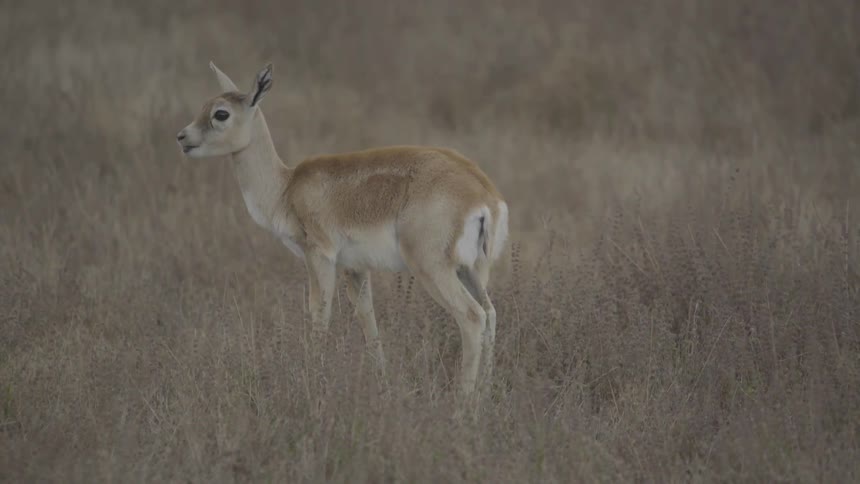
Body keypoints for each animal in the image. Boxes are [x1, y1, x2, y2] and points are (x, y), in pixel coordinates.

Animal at [176, 62, 509, 395]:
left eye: (221, 113)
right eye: (205, 105)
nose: (181, 137)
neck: (285, 188)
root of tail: (484, 195)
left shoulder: (319, 255)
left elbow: (319, 313)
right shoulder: (355, 268)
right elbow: (368, 319)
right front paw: (381, 382)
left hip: (433, 268)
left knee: (472, 317)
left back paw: (464, 402)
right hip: (471, 270)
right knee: (490, 314)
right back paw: (485, 391)